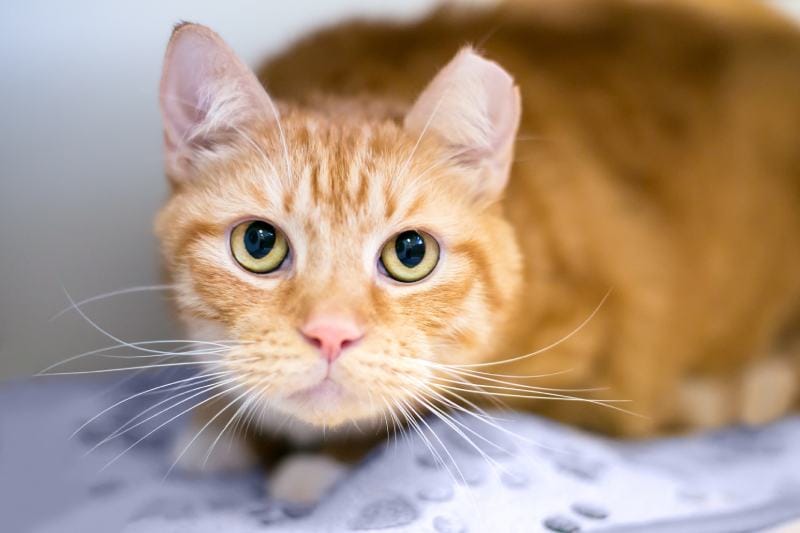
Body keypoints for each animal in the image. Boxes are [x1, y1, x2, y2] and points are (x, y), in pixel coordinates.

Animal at [155, 0, 800, 502]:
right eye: (259, 244)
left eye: (410, 252)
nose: (331, 334)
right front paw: (223, 424)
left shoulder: (597, 387)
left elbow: (443, 408)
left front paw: (324, 463)